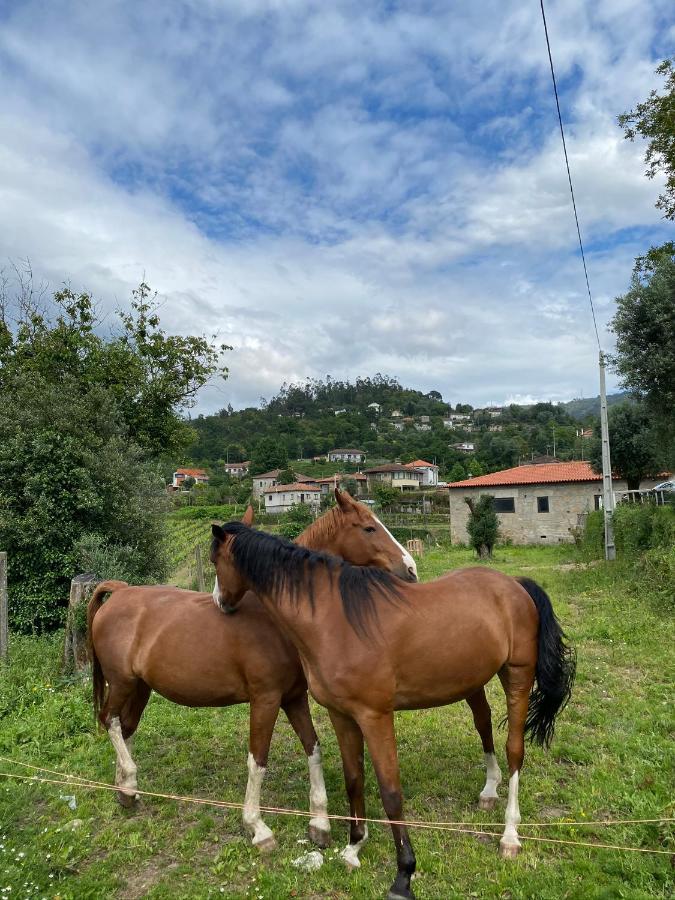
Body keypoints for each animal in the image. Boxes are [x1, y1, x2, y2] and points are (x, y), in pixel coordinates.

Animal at [88, 492, 420, 852]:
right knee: (110, 720)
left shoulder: (293, 698)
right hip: (121, 683)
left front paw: (319, 823)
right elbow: (257, 759)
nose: (411, 570)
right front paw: (257, 827)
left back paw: (125, 789)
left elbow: (313, 749)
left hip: (140, 688)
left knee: (126, 727)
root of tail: (120, 591)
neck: (275, 617)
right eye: (369, 528)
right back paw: (129, 783)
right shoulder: (266, 699)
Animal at [211, 520, 576, 900]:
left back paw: (510, 836)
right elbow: (354, 779)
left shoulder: (375, 717)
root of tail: (513, 584)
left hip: (517, 677)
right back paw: (489, 791)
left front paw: (404, 874)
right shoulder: (342, 716)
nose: (220, 602)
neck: (334, 620)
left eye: (214, 561)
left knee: (514, 750)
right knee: (484, 723)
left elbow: (390, 792)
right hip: (471, 680)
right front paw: (353, 848)